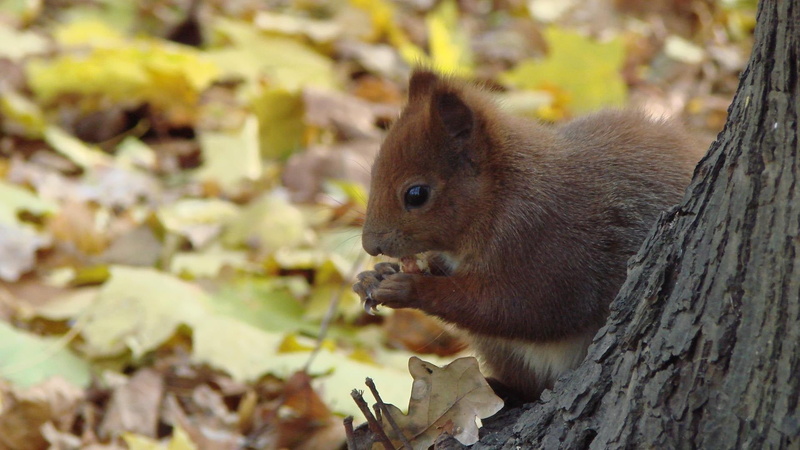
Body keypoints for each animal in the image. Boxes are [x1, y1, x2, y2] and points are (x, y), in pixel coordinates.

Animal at [353, 70, 699, 402]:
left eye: (417, 194)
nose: (370, 246)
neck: (500, 195)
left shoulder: (550, 244)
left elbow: (520, 309)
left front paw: (408, 287)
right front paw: (376, 275)